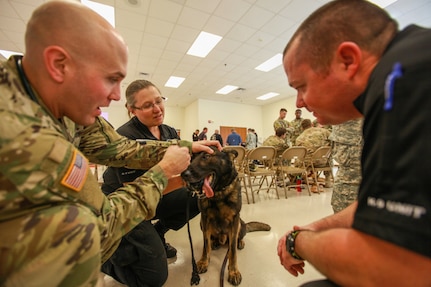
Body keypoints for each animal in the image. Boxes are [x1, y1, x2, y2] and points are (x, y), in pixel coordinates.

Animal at [181, 147, 270, 286]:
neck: (218, 193)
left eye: (206, 156)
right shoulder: (204, 219)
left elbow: (232, 250)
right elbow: (206, 244)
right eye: (191, 157)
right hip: (203, 225)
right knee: (212, 239)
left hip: (240, 224)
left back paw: (240, 242)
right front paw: (203, 261)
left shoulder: (234, 220)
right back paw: (215, 243)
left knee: (237, 238)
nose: (184, 174)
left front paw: (233, 271)